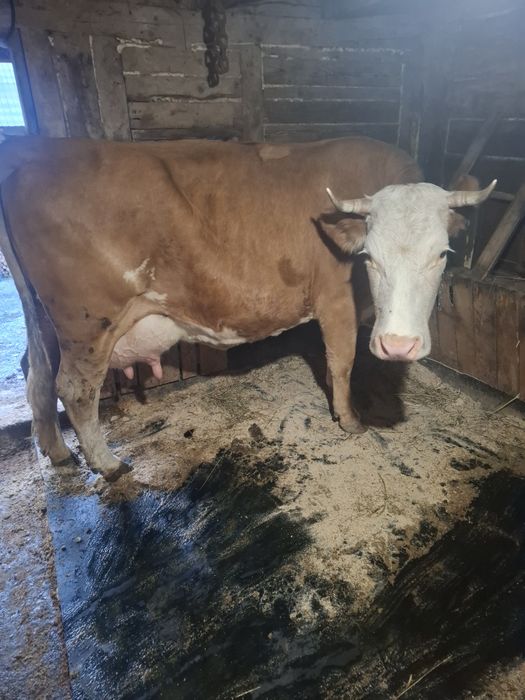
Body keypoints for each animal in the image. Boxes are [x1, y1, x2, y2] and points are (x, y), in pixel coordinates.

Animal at [0, 135, 495, 481]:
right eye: (369, 256)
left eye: (443, 254)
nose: (398, 345)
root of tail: (30, 159)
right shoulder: (335, 299)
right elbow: (342, 362)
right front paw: (350, 419)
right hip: (87, 322)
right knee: (75, 388)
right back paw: (107, 463)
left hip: (45, 320)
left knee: (36, 374)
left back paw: (59, 452)